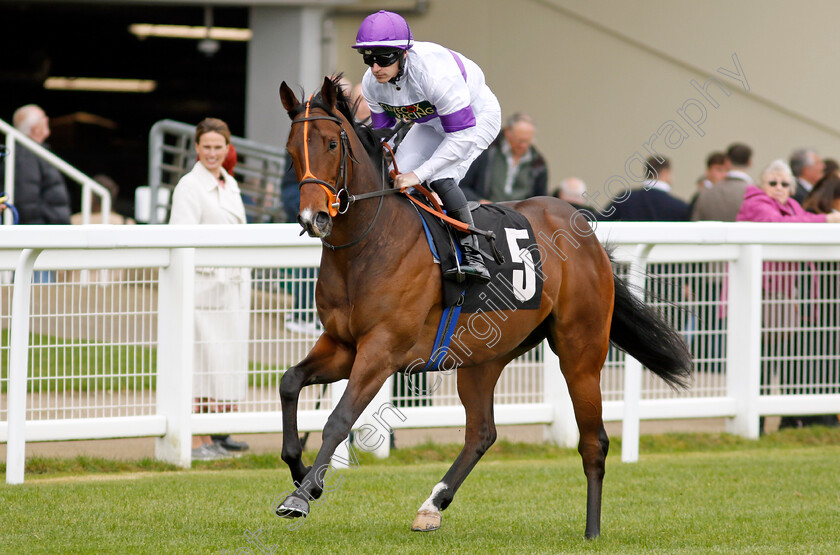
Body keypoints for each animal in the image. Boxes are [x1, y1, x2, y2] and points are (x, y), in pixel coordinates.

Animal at [276, 77, 688, 540]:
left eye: (331, 144)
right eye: (291, 150)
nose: (313, 218)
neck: (371, 243)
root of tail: (585, 229)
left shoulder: (381, 350)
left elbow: (339, 418)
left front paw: (301, 495)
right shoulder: (342, 343)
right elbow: (290, 382)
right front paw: (301, 473)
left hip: (580, 352)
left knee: (593, 440)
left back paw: (592, 531)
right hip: (483, 356)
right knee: (482, 433)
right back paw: (432, 505)